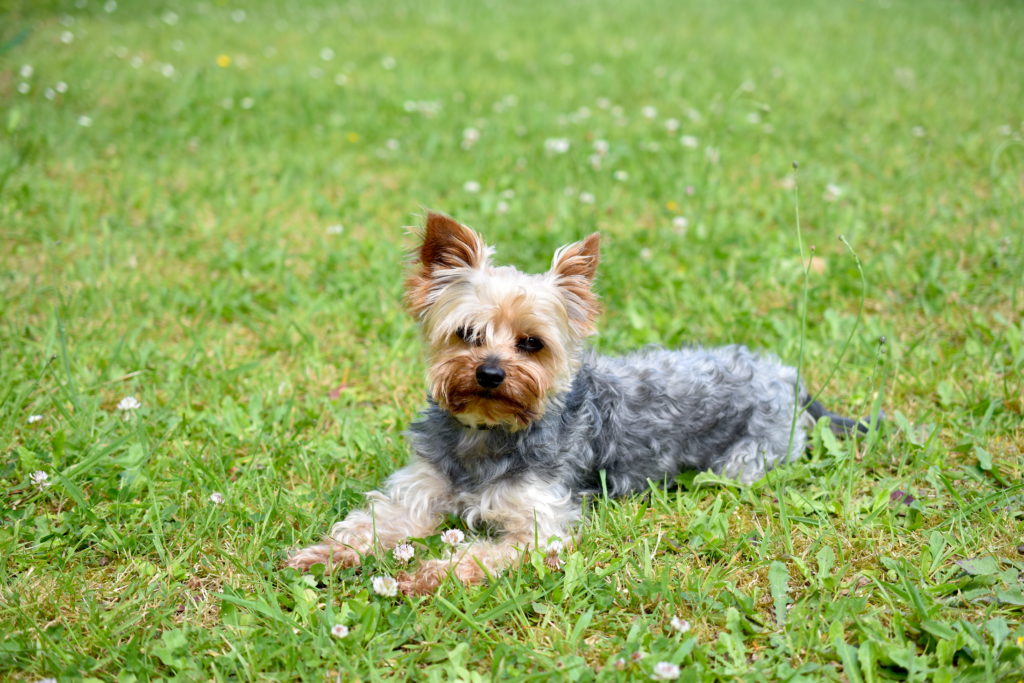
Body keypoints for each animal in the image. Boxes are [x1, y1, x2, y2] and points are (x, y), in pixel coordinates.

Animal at [284, 211, 868, 593]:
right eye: (467, 334)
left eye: (531, 344)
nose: (490, 373)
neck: (485, 434)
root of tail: (785, 376)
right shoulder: (418, 489)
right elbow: (370, 524)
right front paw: (325, 554)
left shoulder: (541, 522)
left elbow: (483, 553)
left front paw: (428, 573)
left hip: (743, 462)